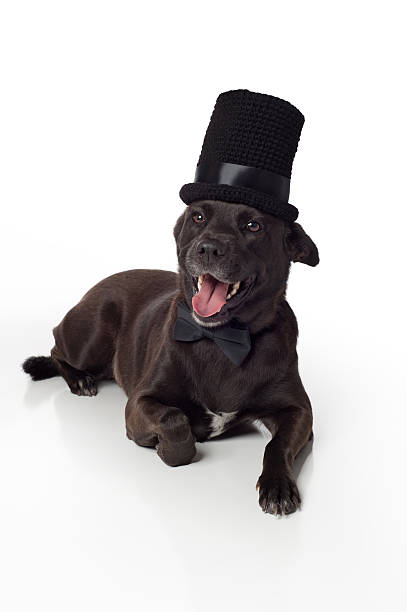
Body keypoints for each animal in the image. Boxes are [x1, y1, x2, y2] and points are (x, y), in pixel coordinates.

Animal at [23, 202, 320, 516]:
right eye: (198, 217)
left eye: (254, 226)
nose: (208, 249)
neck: (222, 338)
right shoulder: (139, 401)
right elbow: (173, 419)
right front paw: (165, 448)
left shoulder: (299, 411)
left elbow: (277, 445)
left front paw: (277, 486)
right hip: (90, 335)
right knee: (56, 347)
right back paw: (79, 379)